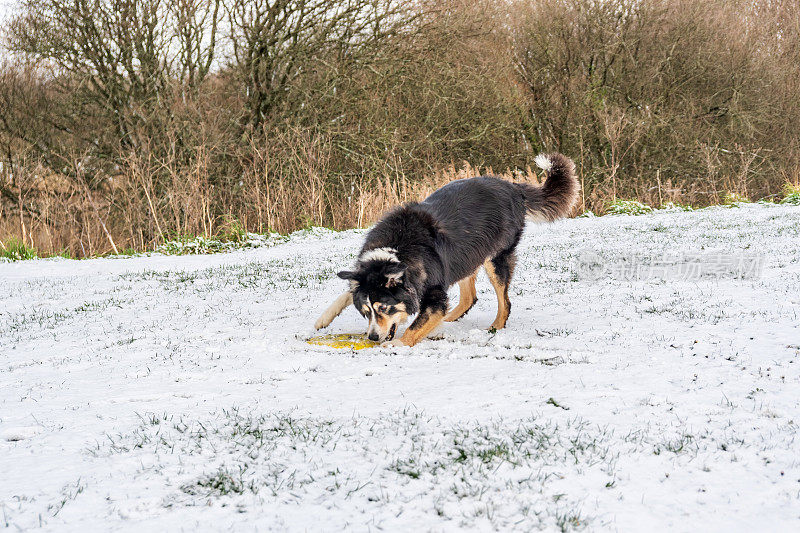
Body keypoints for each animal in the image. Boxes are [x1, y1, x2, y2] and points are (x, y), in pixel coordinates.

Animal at [314, 152, 580, 348]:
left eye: (385, 308)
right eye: (365, 311)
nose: (372, 337)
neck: (398, 252)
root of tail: (513, 187)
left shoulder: (433, 294)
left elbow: (415, 327)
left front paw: (398, 344)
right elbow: (348, 291)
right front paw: (323, 318)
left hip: (495, 257)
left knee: (504, 301)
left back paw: (495, 326)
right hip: (464, 256)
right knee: (469, 296)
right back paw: (450, 320)